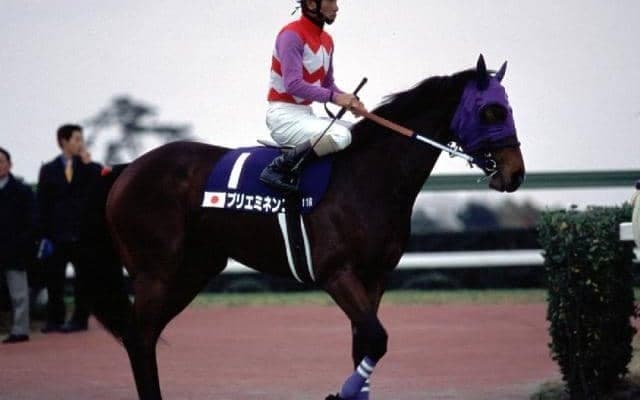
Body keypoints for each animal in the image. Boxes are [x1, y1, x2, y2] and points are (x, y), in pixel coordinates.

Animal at [83, 55, 525, 400]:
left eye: (507, 108)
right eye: (491, 111)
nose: (515, 173)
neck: (366, 177)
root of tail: (127, 168)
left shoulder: (375, 275)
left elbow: (364, 344)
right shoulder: (336, 272)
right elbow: (377, 339)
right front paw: (339, 393)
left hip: (194, 269)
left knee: (145, 335)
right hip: (155, 272)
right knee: (140, 337)